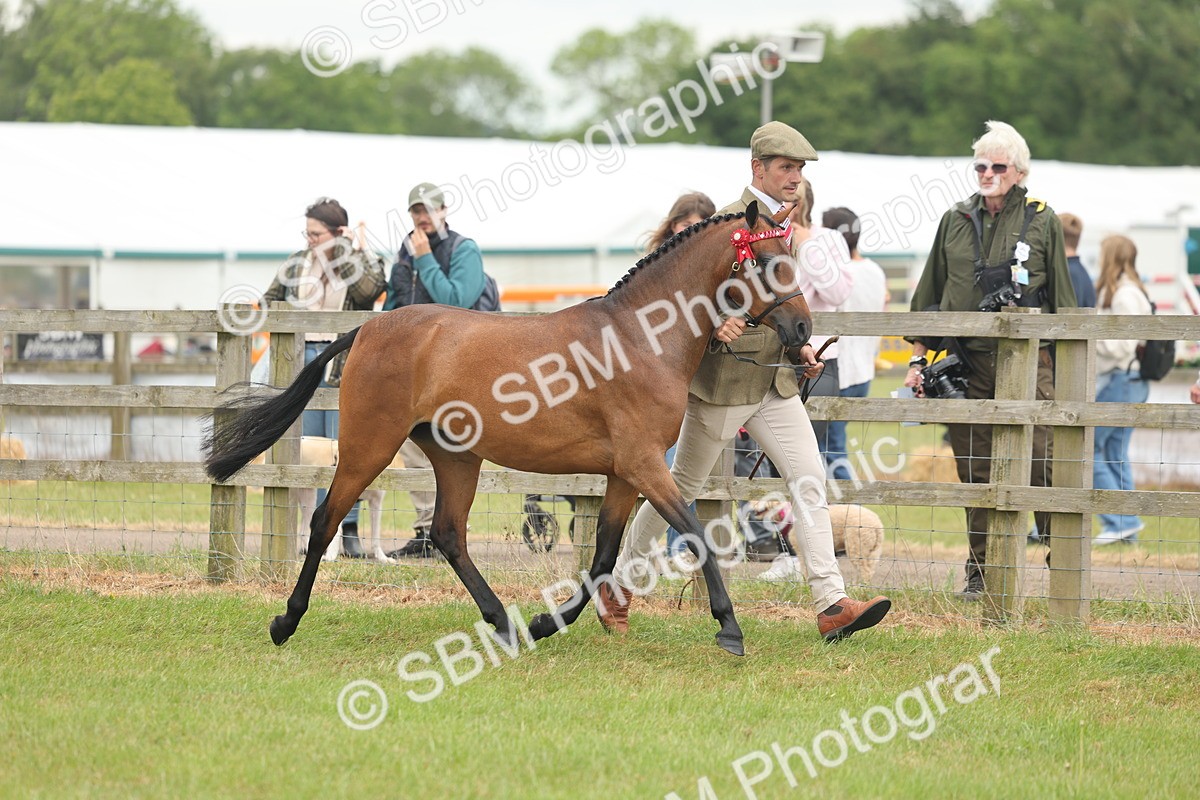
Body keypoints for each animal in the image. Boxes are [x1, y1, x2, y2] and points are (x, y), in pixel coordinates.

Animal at [204, 201, 811, 656]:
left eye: (792, 255)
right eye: (765, 260)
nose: (804, 329)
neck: (639, 338)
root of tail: (370, 326)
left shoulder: (623, 474)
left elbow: (603, 555)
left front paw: (545, 623)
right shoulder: (642, 465)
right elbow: (693, 532)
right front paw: (729, 628)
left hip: (455, 457)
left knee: (448, 534)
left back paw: (502, 624)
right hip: (368, 446)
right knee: (326, 519)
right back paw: (286, 622)